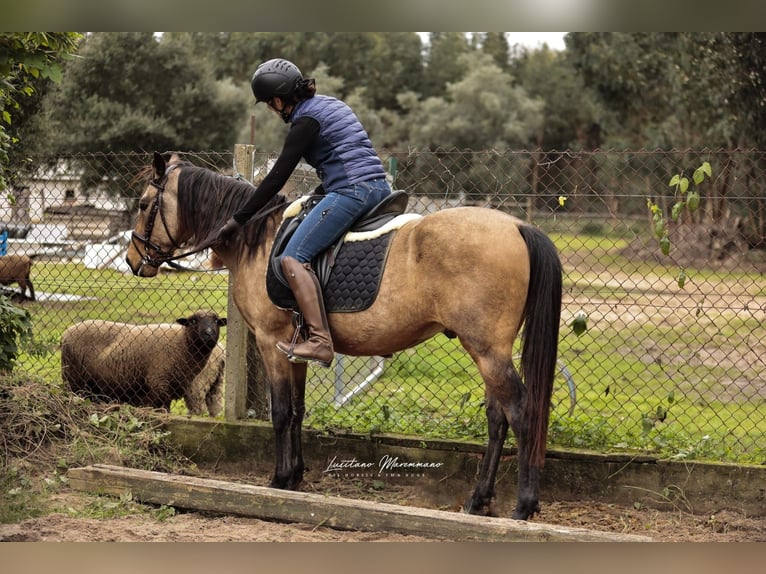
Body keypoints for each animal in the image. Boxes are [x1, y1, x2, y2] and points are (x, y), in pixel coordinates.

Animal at [125, 151, 563, 520]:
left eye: (145, 205)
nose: (132, 261)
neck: (259, 237)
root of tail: (518, 225)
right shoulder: (295, 348)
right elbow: (297, 410)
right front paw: (296, 475)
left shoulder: (270, 342)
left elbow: (280, 412)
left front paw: (279, 480)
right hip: (487, 351)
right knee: (497, 417)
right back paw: (478, 499)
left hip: (488, 350)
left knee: (520, 411)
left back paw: (523, 505)